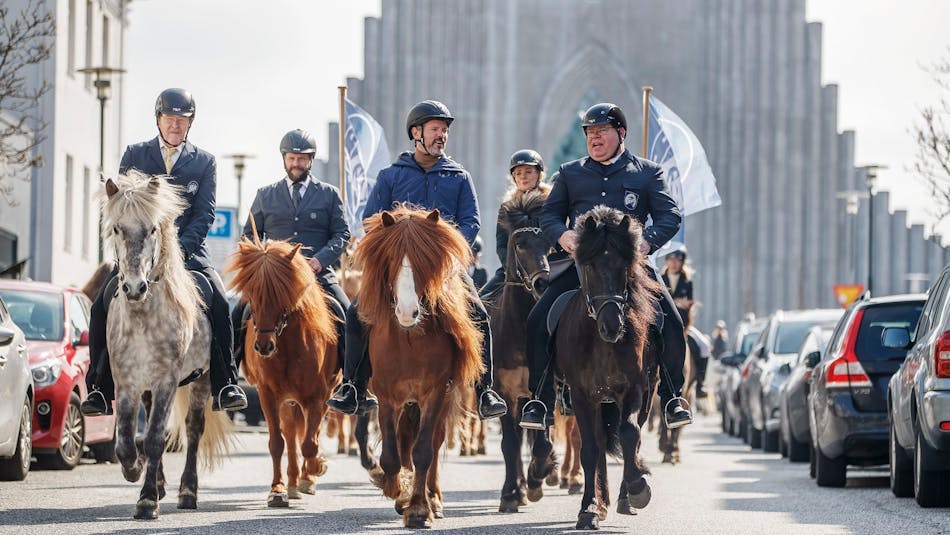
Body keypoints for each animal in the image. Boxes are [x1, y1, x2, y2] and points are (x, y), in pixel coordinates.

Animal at [102, 172, 232, 520]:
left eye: (152, 229)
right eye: (117, 228)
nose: (135, 287)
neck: (142, 317)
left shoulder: (167, 380)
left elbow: (156, 438)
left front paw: (147, 501)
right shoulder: (126, 381)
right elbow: (126, 440)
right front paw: (134, 470)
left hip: (202, 379)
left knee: (193, 429)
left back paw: (187, 492)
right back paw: (159, 483)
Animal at [228, 234, 342, 506]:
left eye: (281, 293)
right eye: (252, 292)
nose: (263, 346)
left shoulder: (317, 396)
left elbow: (310, 443)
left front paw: (316, 468)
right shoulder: (268, 394)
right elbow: (277, 443)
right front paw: (277, 490)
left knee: (308, 435)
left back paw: (306, 478)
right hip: (288, 400)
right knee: (290, 435)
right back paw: (291, 482)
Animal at [356, 204, 488, 528]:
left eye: (427, 261)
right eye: (391, 259)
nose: (407, 312)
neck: (409, 340)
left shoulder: (435, 393)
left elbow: (425, 450)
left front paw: (418, 508)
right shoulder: (387, 396)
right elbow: (391, 456)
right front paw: (398, 490)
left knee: (433, 444)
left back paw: (433, 498)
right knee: (403, 441)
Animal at [532, 206, 664, 532]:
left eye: (624, 266)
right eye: (589, 267)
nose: (612, 326)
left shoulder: (634, 390)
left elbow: (629, 434)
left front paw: (638, 489)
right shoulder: (582, 395)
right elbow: (590, 449)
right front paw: (589, 509)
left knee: (632, 436)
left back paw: (623, 499)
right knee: (599, 443)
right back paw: (600, 504)